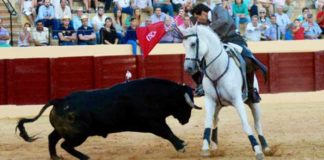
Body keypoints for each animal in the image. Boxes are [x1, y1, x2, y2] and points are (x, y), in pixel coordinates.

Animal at [17, 78, 202, 159]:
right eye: (186, 105)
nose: (186, 120)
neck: (157, 95)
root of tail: (60, 101)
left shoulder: (155, 123)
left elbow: (168, 132)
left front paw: (181, 143)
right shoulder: (154, 123)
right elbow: (167, 132)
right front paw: (181, 146)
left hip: (64, 131)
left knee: (52, 139)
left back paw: (56, 157)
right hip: (79, 134)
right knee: (65, 145)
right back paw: (85, 158)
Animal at [180, 24, 270, 159]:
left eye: (193, 44)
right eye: (183, 44)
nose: (188, 68)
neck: (217, 69)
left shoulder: (237, 100)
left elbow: (245, 124)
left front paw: (257, 150)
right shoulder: (210, 100)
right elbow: (207, 122)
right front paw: (205, 148)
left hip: (253, 103)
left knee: (257, 123)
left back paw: (265, 147)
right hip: (218, 105)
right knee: (215, 120)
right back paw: (214, 144)